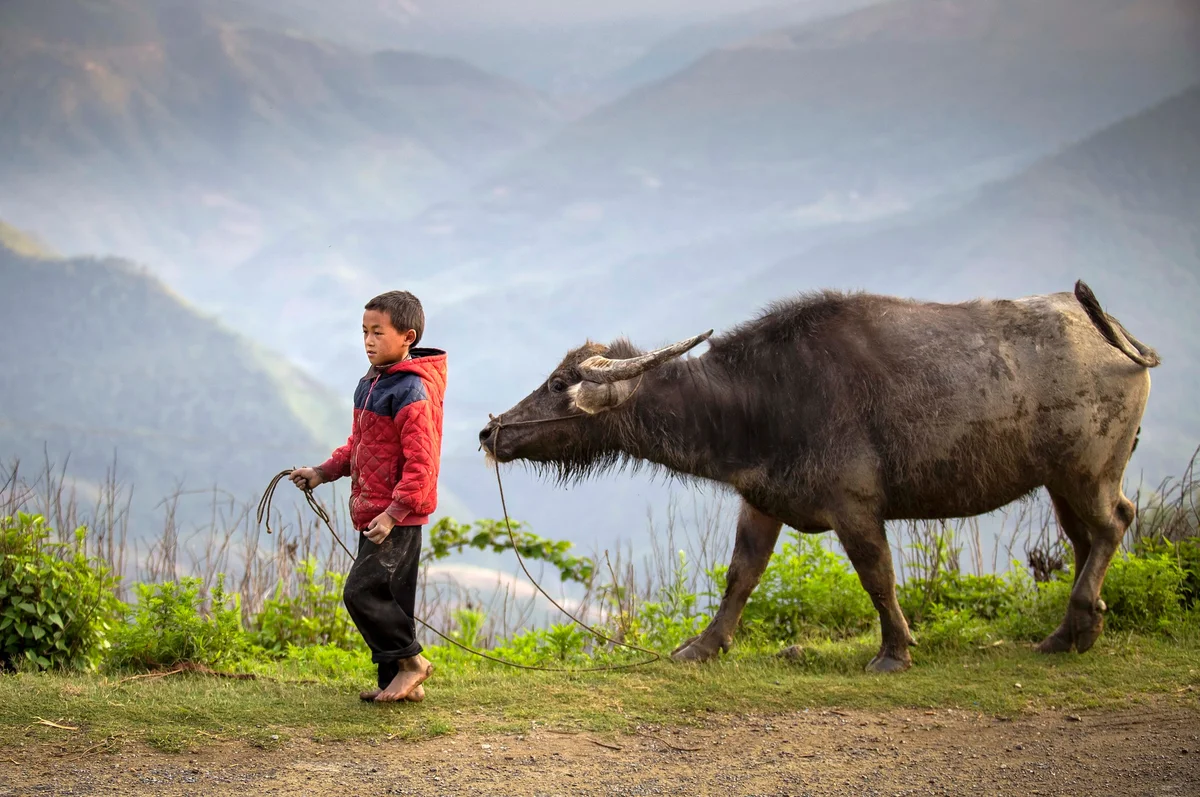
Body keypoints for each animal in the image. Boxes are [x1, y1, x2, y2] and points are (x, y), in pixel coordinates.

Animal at [478, 281, 1160, 672]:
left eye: (560, 384)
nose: (490, 433)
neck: (763, 399)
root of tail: (1112, 334)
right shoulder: (761, 501)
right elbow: (740, 576)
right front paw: (701, 647)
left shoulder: (855, 507)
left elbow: (877, 575)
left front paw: (893, 651)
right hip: (1061, 479)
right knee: (1086, 538)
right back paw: (1070, 633)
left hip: (1088, 470)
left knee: (1113, 525)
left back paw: (1078, 622)